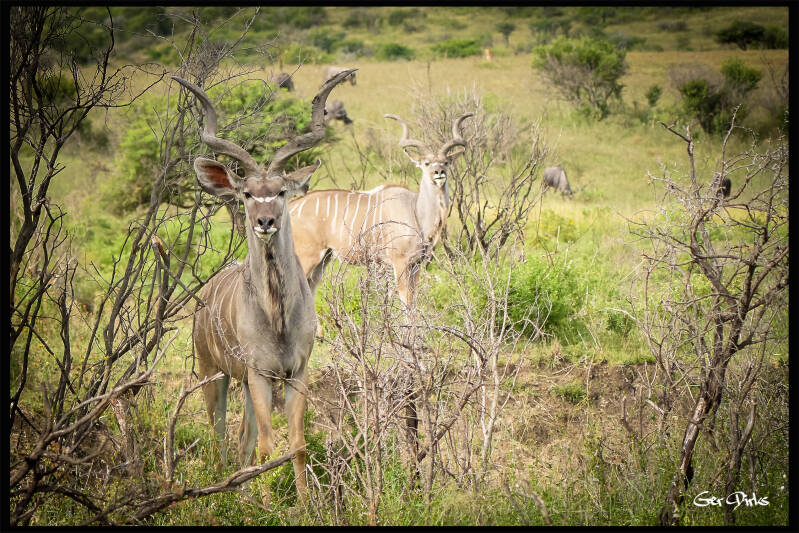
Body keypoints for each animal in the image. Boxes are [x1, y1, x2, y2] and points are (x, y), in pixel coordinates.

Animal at [172, 68, 353, 505]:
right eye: (248, 193)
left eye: (282, 191)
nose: (265, 221)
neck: (278, 319)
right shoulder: (258, 372)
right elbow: (269, 448)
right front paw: (268, 506)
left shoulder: (295, 372)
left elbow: (296, 444)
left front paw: (303, 506)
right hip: (214, 374)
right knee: (220, 433)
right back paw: (222, 489)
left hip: (244, 382)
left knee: (242, 438)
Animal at [289, 112, 473, 309]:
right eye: (426, 163)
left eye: (446, 162)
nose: (439, 172)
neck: (416, 211)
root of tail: (290, 207)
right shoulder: (400, 261)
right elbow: (406, 301)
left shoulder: (416, 264)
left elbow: (413, 301)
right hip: (307, 257)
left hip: (323, 259)